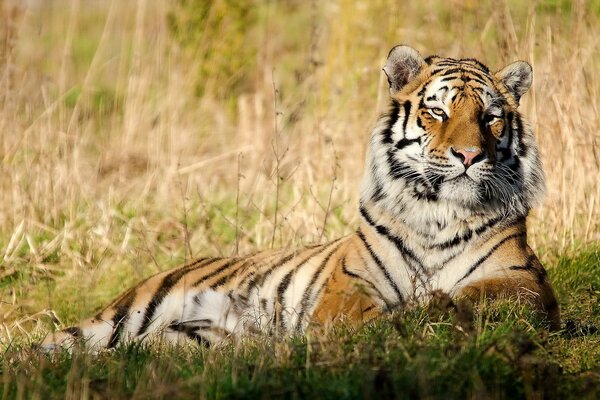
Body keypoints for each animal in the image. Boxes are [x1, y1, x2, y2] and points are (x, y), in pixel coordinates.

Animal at [41, 44, 556, 350]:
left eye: (490, 117)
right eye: (437, 112)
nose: (469, 155)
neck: (438, 212)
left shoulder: (524, 278)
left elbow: (480, 293)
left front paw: (435, 306)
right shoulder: (348, 286)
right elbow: (363, 314)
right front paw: (406, 316)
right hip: (123, 315)